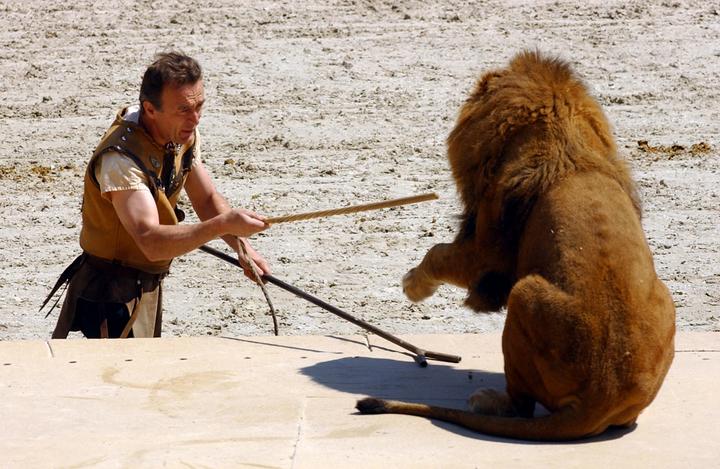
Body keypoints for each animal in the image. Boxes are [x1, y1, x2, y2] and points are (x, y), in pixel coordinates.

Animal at [356, 50, 676, 441]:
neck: (562, 138)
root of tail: (600, 399)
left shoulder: (485, 256)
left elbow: (437, 254)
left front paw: (412, 286)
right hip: (665, 299)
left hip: (523, 293)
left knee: (521, 405)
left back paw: (487, 399)